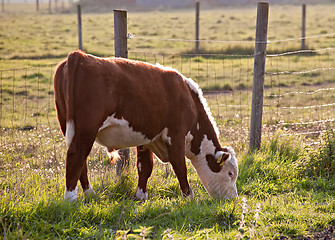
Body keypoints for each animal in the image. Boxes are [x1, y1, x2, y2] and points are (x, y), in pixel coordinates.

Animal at [53, 49, 239, 202]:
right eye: (230, 173)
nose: (234, 199)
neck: (188, 97)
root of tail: (80, 56)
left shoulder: (147, 137)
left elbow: (145, 167)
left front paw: (141, 196)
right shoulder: (176, 135)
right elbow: (180, 167)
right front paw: (189, 196)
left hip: (70, 128)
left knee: (81, 162)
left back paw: (90, 194)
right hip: (87, 130)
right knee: (76, 157)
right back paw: (71, 199)